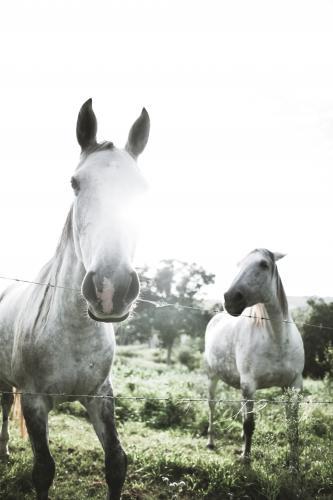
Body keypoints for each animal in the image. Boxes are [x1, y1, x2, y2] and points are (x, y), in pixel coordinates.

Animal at [0, 98, 149, 500]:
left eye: (141, 187)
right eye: (75, 183)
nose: (111, 288)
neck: (73, 331)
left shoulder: (101, 396)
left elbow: (116, 463)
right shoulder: (35, 401)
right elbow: (43, 470)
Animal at [202, 250, 304, 464]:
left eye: (263, 264)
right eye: (239, 264)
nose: (230, 299)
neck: (277, 338)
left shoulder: (293, 385)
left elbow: (293, 427)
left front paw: (294, 464)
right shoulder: (249, 384)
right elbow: (249, 425)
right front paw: (246, 459)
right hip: (212, 377)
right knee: (212, 406)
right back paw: (211, 442)